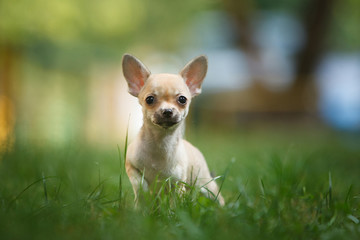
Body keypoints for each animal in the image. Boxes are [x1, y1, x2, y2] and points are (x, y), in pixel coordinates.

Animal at [122, 54, 224, 206]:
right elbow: (140, 185)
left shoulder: (177, 183)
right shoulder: (131, 167)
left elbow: (174, 202)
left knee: (217, 196)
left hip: (204, 183)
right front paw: (142, 202)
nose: (167, 111)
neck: (161, 141)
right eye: (149, 99)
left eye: (182, 99)